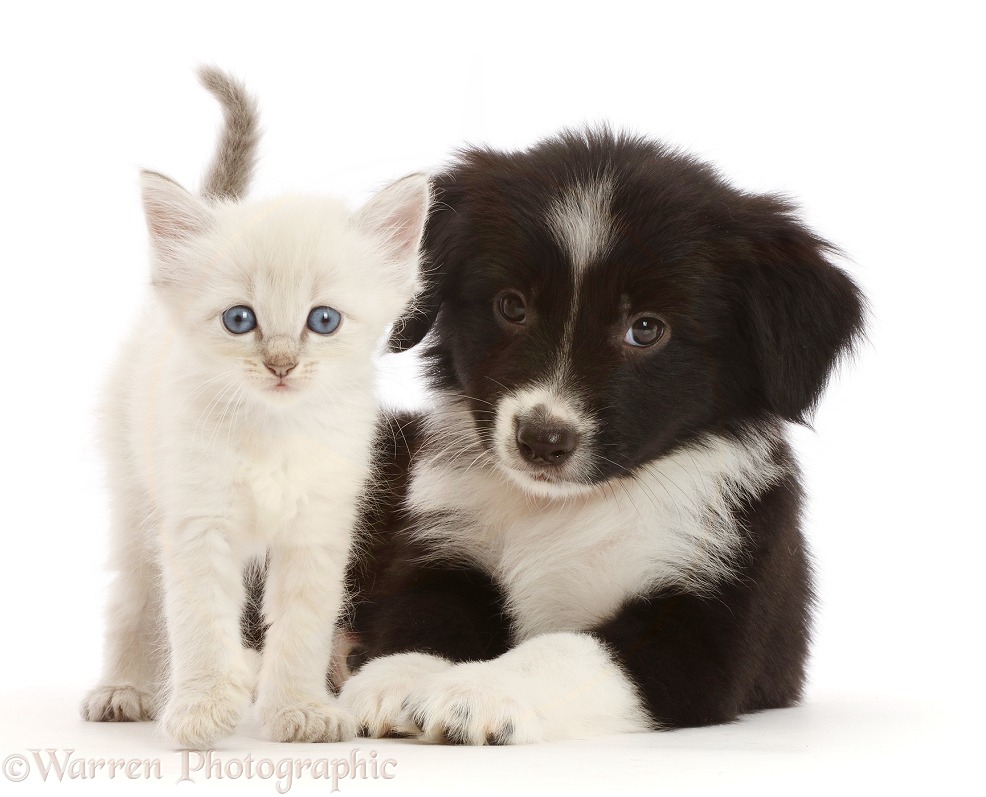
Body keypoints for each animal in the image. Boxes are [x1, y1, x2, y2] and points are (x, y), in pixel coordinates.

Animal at [78, 68, 426, 748]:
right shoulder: (196, 521)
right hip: (134, 496)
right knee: (132, 594)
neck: (272, 432)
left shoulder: (318, 529)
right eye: (240, 320)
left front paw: (300, 710)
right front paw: (201, 709)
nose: (282, 365)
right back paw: (125, 689)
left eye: (324, 320)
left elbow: (302, 629)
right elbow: (199, 624)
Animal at [336, 127, 860, 744]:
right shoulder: (440, 549)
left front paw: (479, 690)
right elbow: (419, 618)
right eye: (511, 306)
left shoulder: (703, 627)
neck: (566, 511)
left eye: (646, 329)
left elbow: (565, 650)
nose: (542, 439)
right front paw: (394, 680)